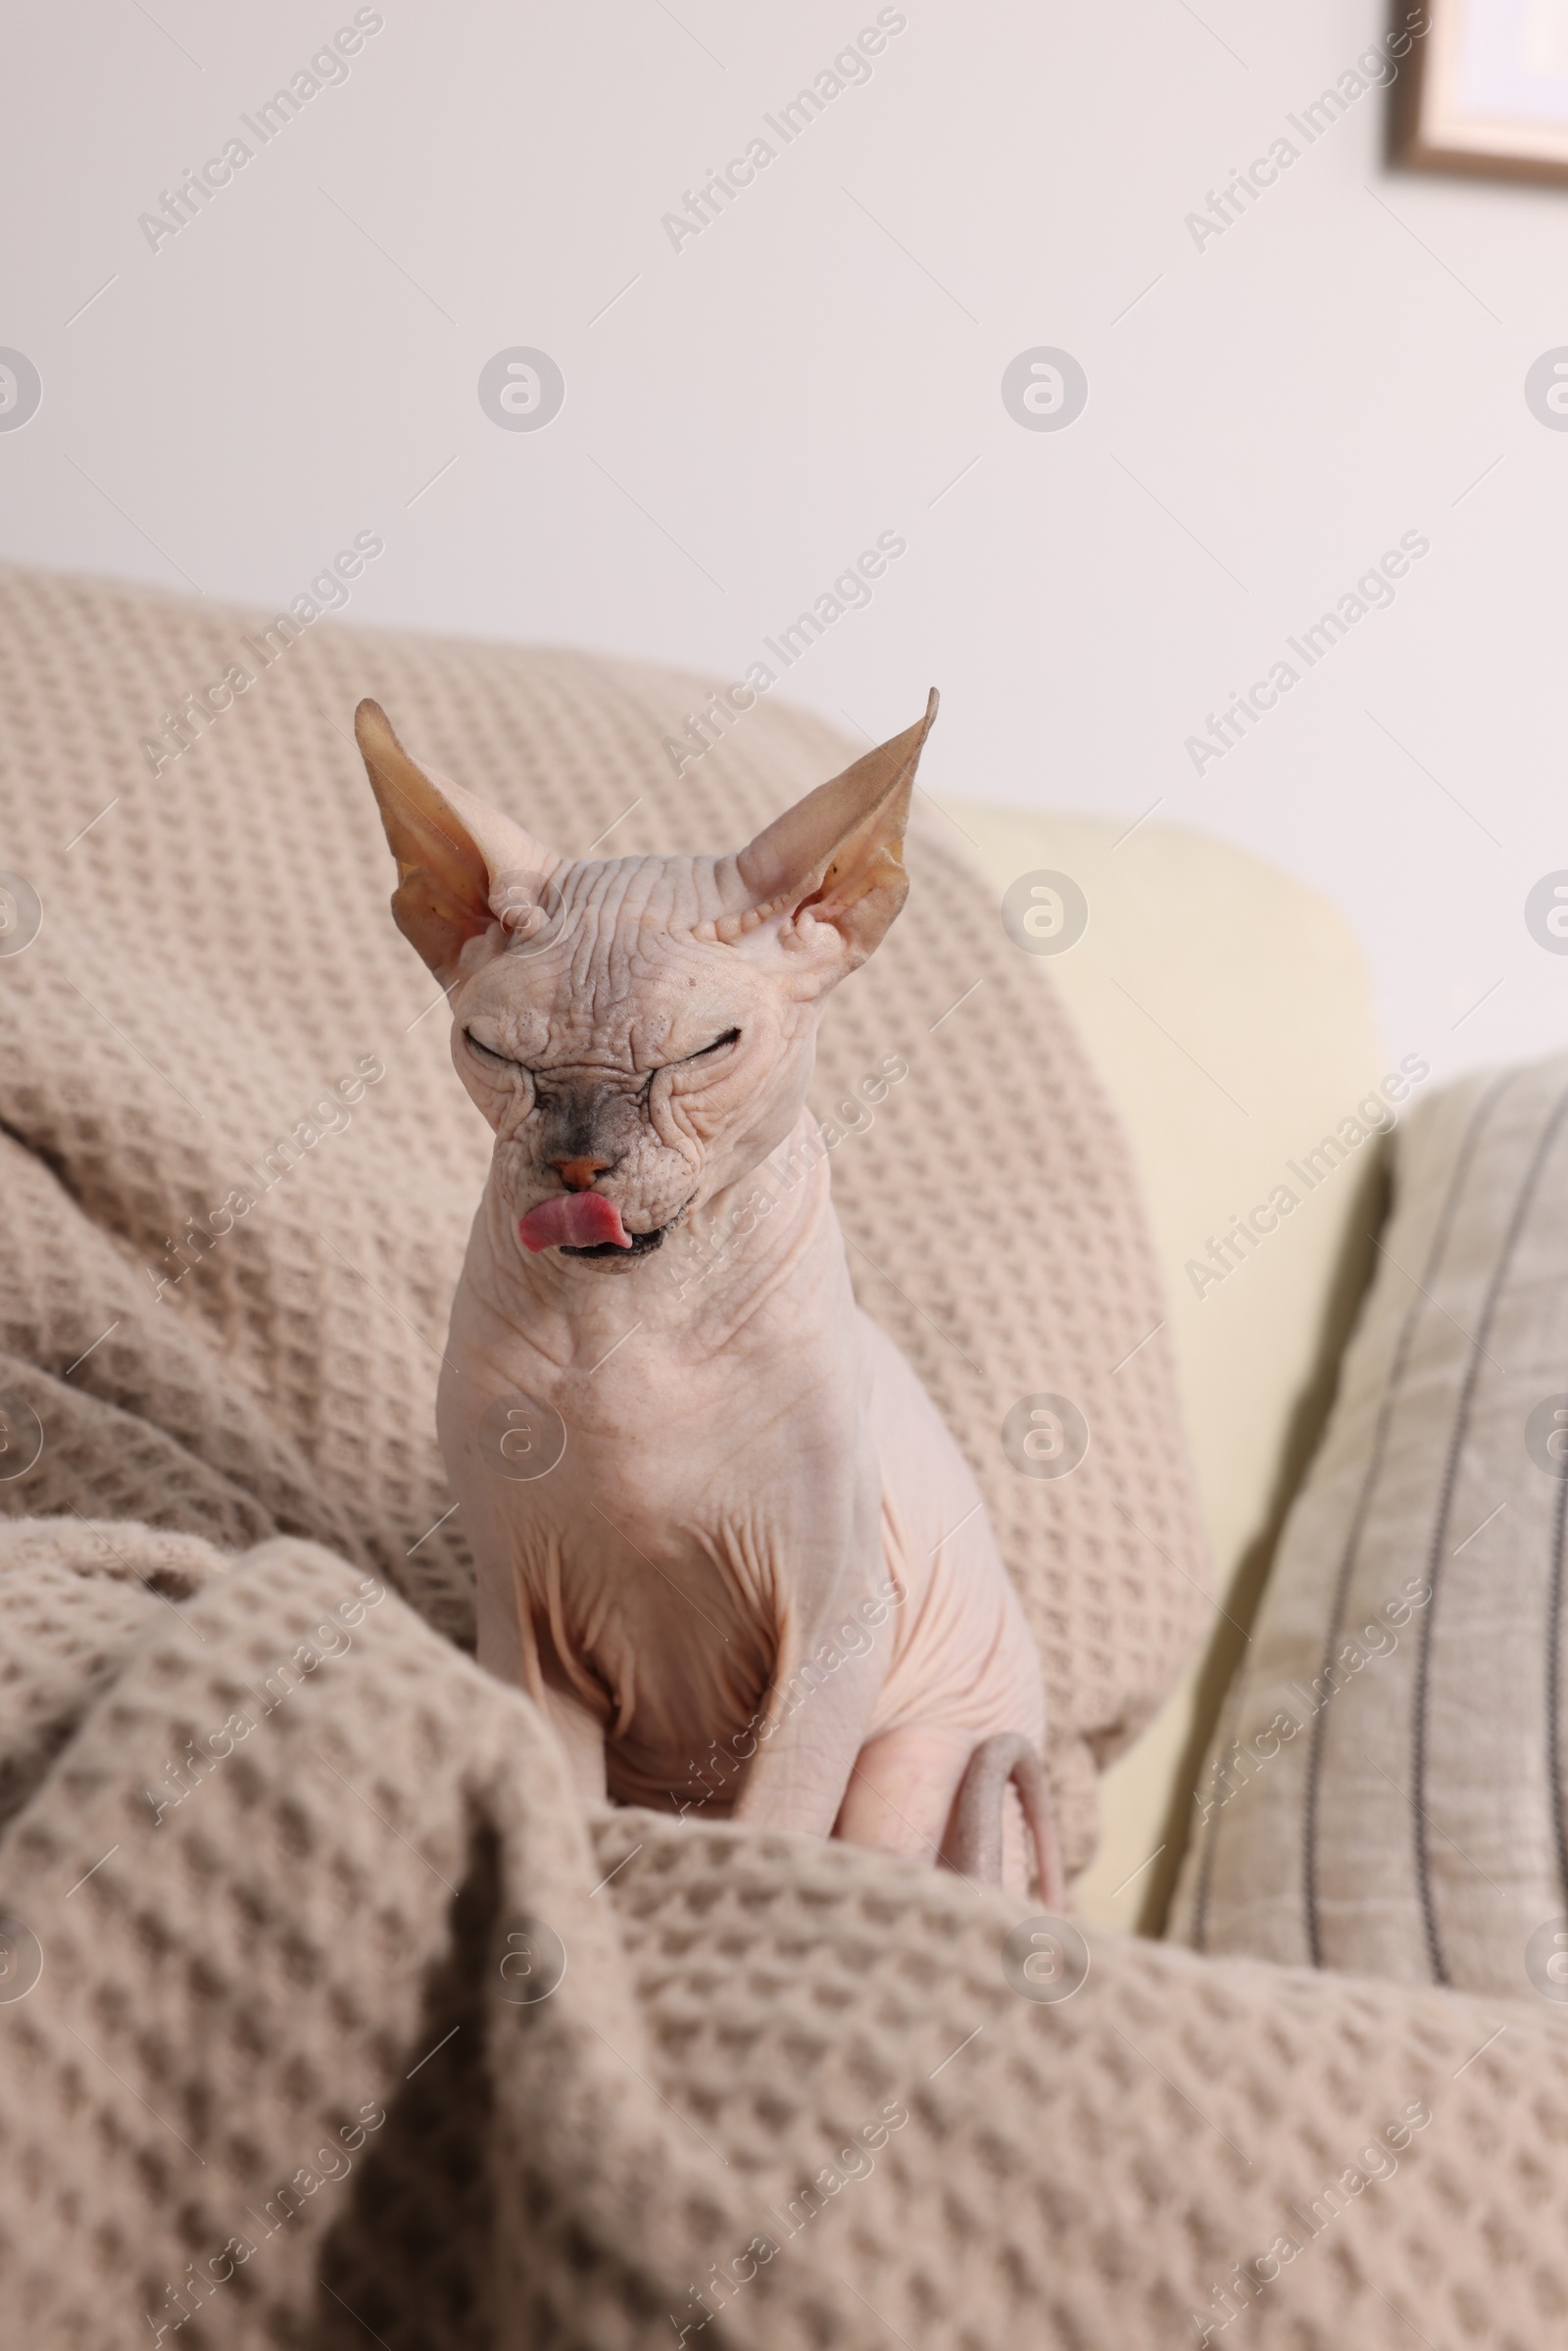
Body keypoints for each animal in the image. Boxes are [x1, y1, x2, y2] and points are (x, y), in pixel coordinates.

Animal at [357, 686, 1067, 1899]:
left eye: (706, 1048)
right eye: (490, 1049)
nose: (578, 1161)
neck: (628, 1327)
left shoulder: (839, 1618)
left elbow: (779, 1828)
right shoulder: (525, 1614)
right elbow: (565, 1804)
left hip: (915, 1751)